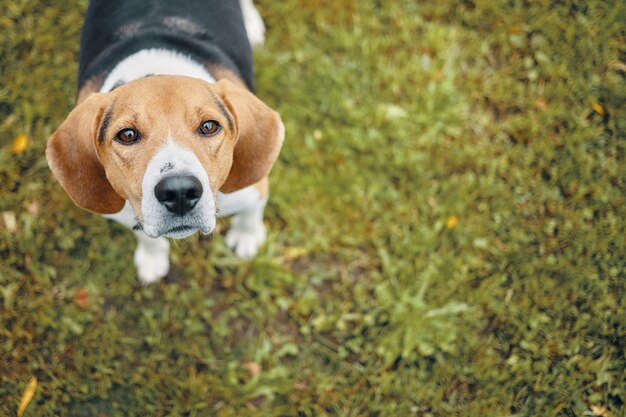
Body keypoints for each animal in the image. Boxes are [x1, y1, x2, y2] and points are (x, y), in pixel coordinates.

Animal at [45, 0, 284, 282]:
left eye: (209, 126)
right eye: (127, 135)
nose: (179, 192)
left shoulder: (253, 189)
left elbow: (252, 212)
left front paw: (247, 237)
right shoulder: (131, 211)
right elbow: (145, 236)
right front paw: (151, 258)